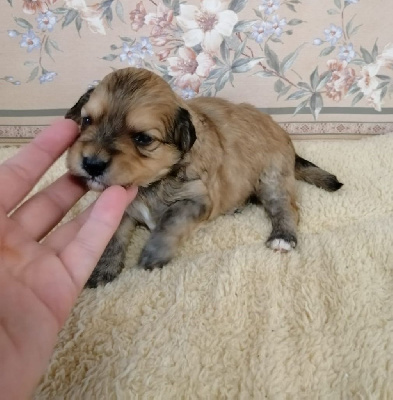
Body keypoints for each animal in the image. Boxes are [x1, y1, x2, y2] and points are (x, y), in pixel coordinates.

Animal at [66, 67, 342, 286]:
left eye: (143, 138)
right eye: (87, 120)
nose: (91, 164)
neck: (150, 185)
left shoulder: (196, 200)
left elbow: (170, 223)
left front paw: (153, 255)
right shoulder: (122, 203)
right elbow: (111, 236)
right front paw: (101, 270)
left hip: (272, 177)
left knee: (286, 208)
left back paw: (283, 238)